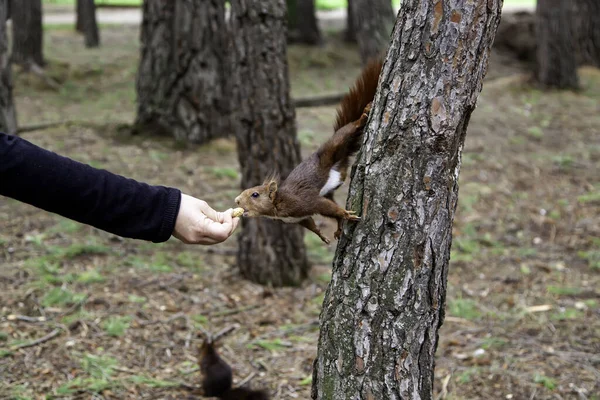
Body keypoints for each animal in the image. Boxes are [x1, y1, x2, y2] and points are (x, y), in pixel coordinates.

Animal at [232, 57, 382, 244]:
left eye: (255, 194)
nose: (237, 201)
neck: (277, 208)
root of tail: (339, 162)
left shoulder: (306, 202)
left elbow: (326, 207)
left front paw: (346, 214)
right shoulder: (299, 218)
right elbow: (310, 224)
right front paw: (322, 235)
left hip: (332, 148)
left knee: (347, 131)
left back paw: (363, 116)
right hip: (329, 190)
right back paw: (339, 228)